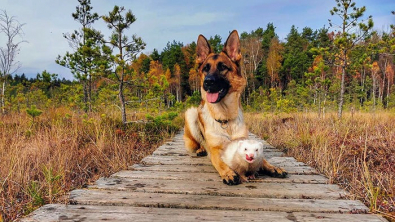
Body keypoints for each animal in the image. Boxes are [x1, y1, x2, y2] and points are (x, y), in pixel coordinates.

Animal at [184, 30, 290, 185]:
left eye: (222, 67)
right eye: (205, 69)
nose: (208, 82)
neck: (225, 118)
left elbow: (263, 159)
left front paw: (272, 167)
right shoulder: (215, 150)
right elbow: (220, 162)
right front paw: (228, 173)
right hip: (190, 114)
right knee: (199, 142)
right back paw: (201, 149)